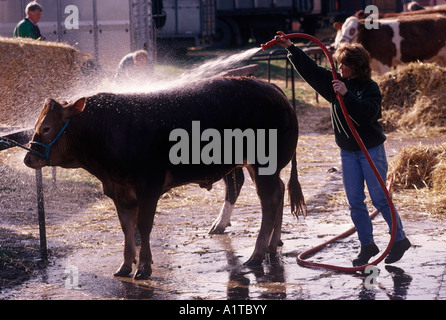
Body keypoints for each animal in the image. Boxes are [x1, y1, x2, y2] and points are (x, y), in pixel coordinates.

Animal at [23, 77, 306, 280]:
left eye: (46, 127)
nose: (28, 158)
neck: (112, 127)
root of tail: (272, 88)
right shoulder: (120, 191)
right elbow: (127, 227)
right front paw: (125, 265)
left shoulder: (148, 188)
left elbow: (143, 226)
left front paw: (144, 267)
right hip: (260, 168)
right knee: (278, 192)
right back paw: (272, 244)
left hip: (263, 165)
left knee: (269, 200)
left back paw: (257, 253)